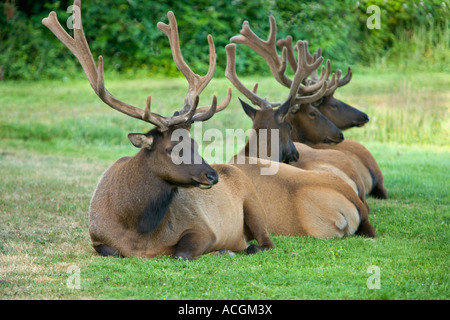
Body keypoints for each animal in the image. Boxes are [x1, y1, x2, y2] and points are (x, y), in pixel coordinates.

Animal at [43, 1, 274, 258]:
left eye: (195, 144)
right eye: (173, 148)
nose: (212, 175)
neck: (136, 228)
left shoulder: (203, 229)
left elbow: (181, 253)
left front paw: (219, 251)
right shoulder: (97, 237)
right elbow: (113, 251)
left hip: (254, 203)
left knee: (264, 243)